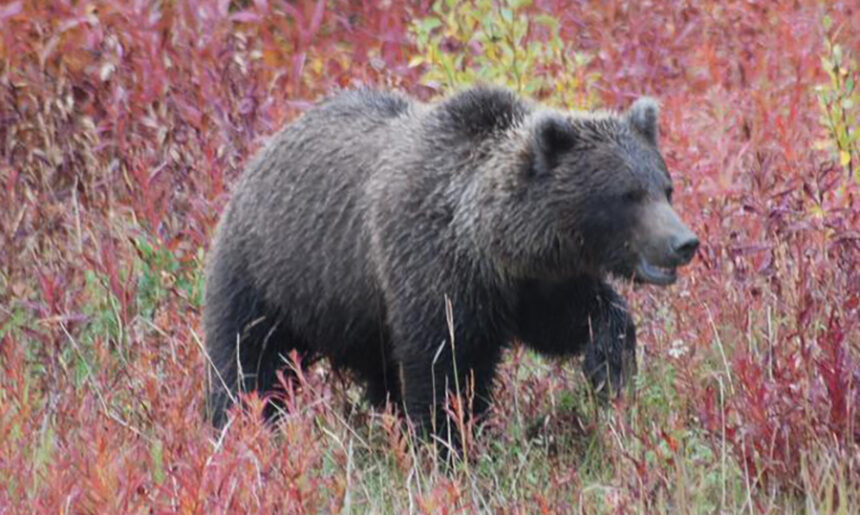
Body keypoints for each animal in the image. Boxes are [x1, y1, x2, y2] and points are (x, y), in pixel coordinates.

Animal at [203, 85, 699, 441]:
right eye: (627, 195)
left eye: (665, 187)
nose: (683, 242)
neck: (489, 246)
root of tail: (260, 154)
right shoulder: (430, 268)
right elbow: (443, 367)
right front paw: (449, 441)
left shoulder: (536, 283)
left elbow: (576, 320)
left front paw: (609, 368)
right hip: (269, 276)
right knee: (247, 363)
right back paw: (240, 430)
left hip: (359, 314)